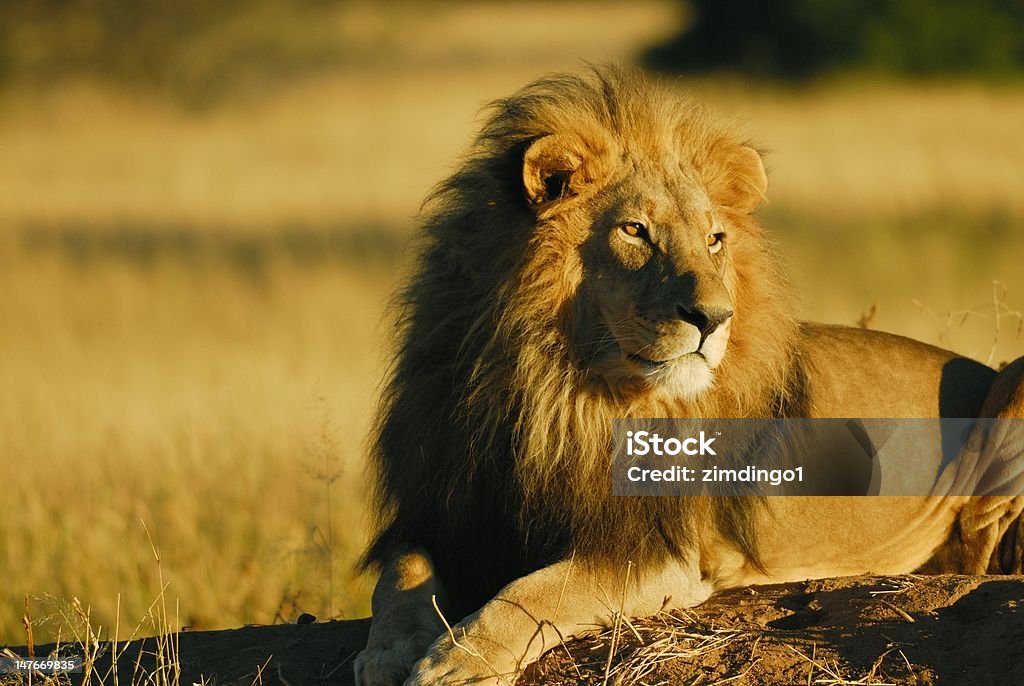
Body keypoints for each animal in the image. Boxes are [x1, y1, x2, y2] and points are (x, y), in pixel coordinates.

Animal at [352, 66, 1024, 686]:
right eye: (635, 230)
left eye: (714, 239)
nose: (713, 318)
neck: (556, 388)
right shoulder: (449, 512)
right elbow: (400, 577)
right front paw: (388, 652)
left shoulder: (657, 552)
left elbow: (539, 590)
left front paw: (457, 661)